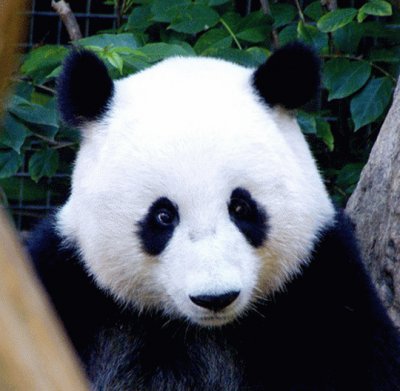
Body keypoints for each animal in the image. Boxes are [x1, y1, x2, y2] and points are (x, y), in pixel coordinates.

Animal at [28, 41, 400, 390]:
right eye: (163, 216)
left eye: (241, 207)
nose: (215, 297)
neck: (197, 330)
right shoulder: (72, 286)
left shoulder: (325, 288)